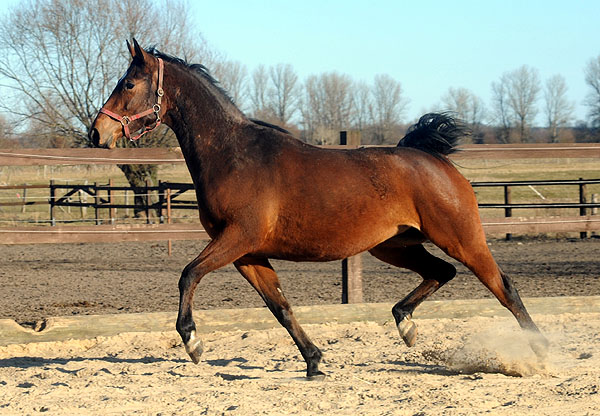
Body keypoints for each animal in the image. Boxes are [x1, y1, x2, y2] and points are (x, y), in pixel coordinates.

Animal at [90, 40, 548, 378]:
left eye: (128, 83)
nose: (97, 133)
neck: (232, 155)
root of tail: (435, 160)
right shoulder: (248, 252)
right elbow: (280, 306)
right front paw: (314, 362)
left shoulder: (237, 238)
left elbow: (188, 275)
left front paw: (193, 342)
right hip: (394, 245)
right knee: (441, 272)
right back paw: (405, 325)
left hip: (461, 237)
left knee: (503, 287)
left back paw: (542, 350)